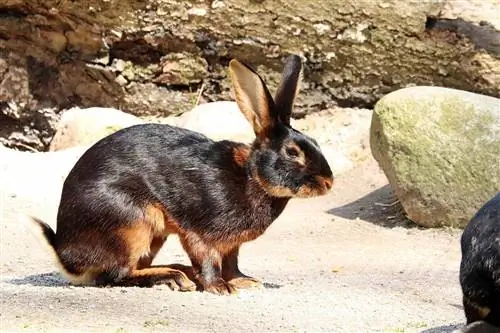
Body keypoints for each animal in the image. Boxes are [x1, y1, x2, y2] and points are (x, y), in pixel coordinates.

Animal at [24, 55, 336, 296]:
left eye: (315, 143)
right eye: (293, 152)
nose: (328, 183)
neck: (252, 176)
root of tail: (67, 256)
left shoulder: (231, 246)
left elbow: (232, 263)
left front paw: (244, 281)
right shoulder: (200, 234)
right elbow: (209, 260)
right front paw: (220, 288)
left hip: (153, 234)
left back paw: (180, 272)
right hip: (133, 225)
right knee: (117, 274)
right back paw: (175, 277)